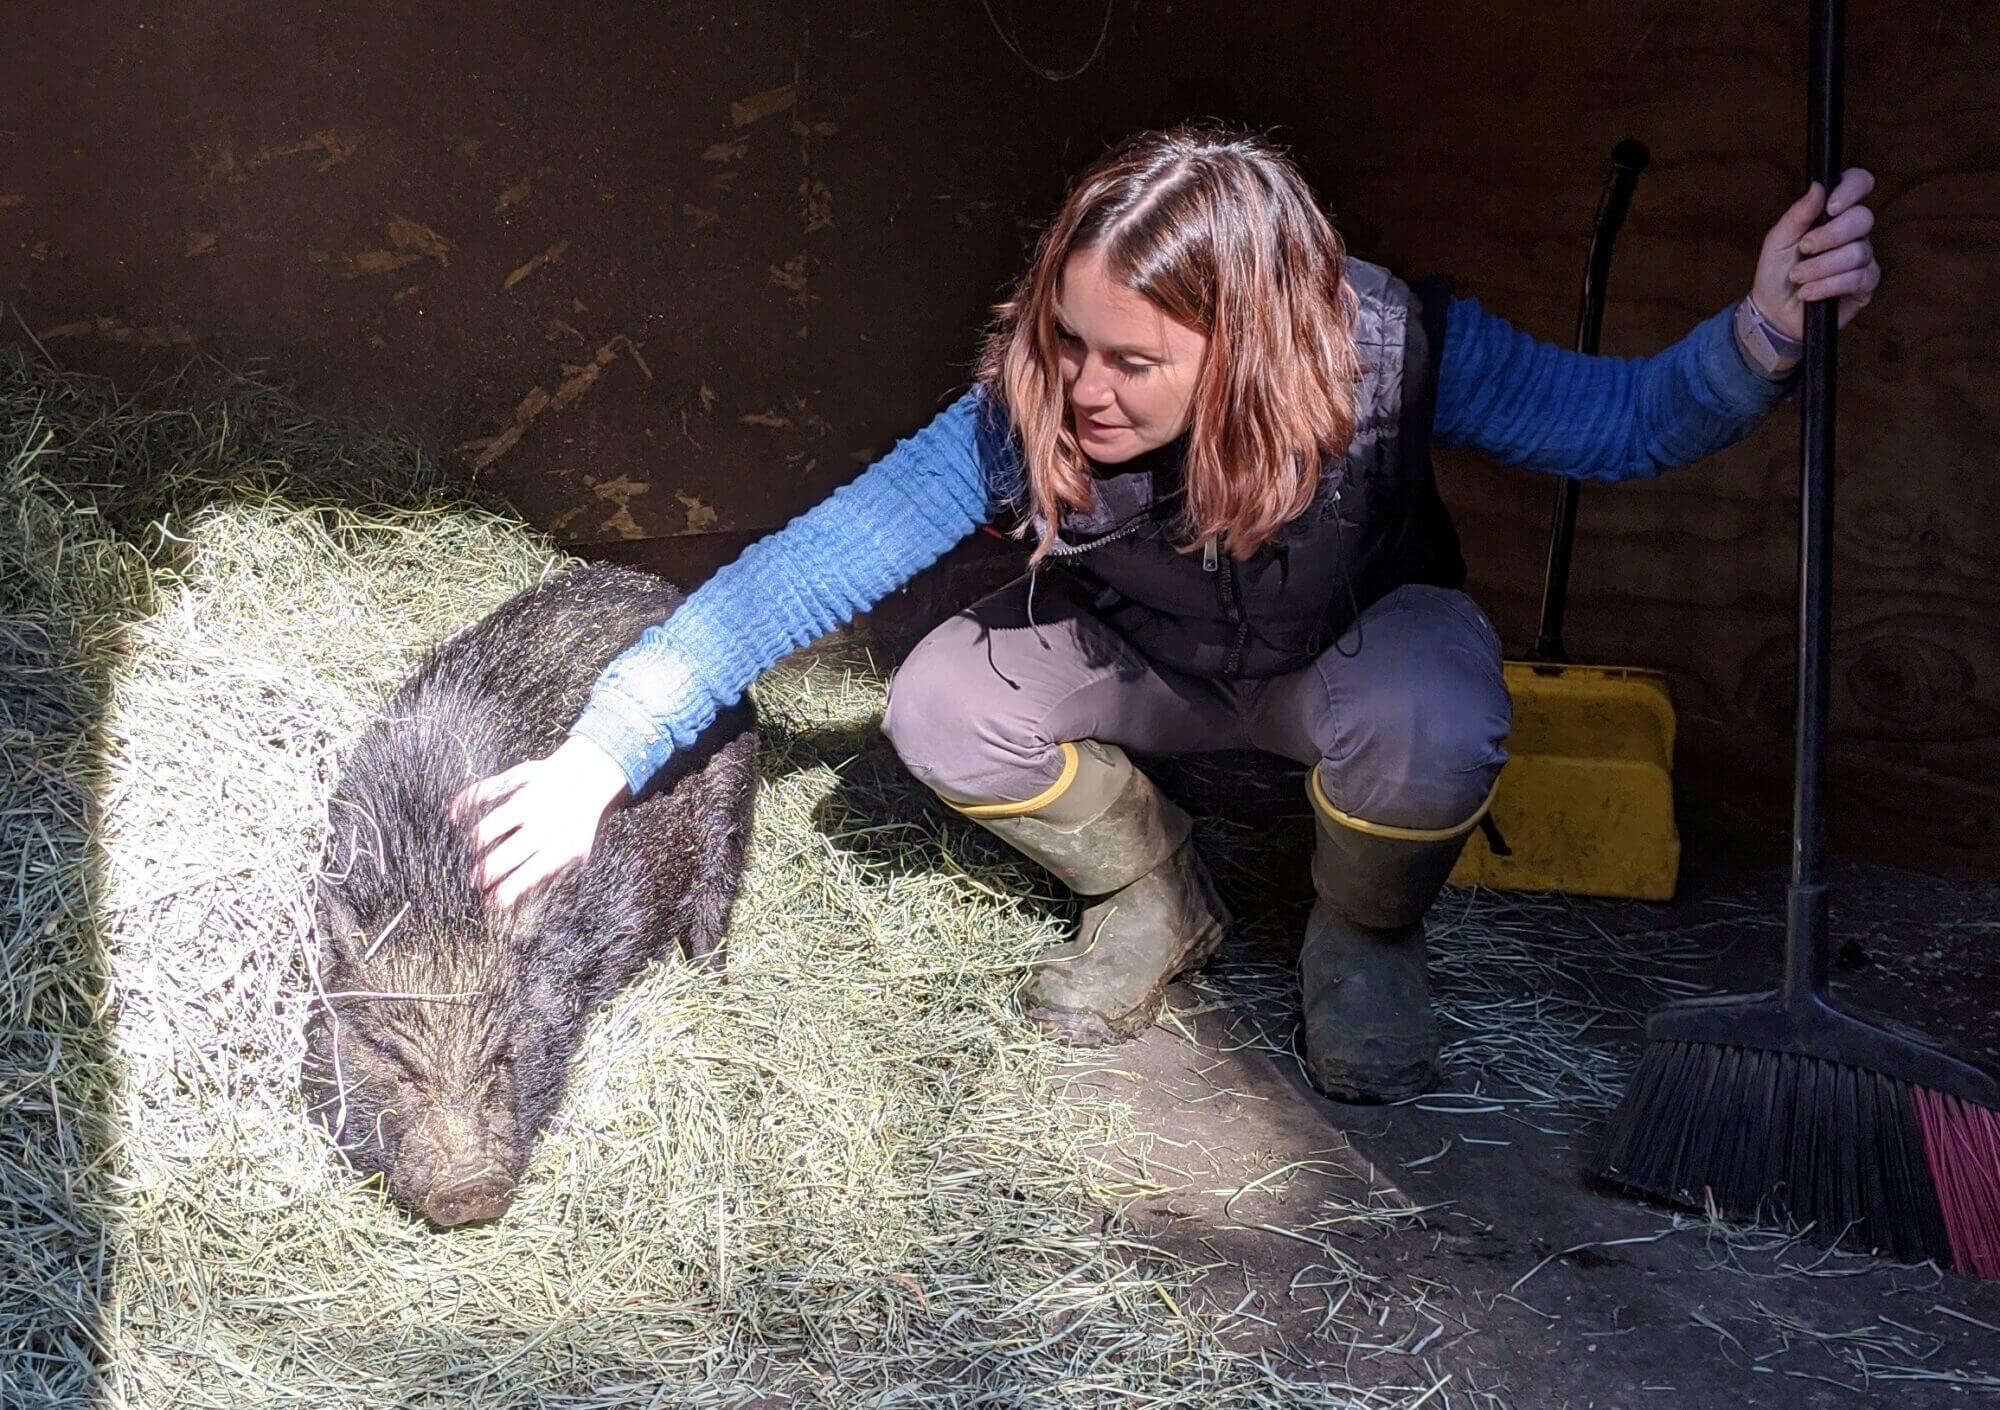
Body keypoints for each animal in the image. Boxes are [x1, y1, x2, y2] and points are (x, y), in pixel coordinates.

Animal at [302, 561, 756, 1227]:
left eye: (500, 1055)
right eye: (396, 1063)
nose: (472, 1186)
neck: (434, 888)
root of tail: (670, 590)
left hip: (732, 789)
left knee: (715, 897)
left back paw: (710, 982)